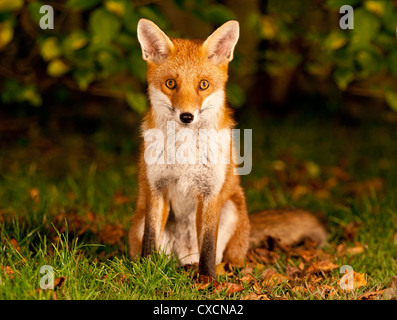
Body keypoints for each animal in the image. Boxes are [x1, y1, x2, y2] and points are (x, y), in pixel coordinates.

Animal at [128, 18, 326, 278]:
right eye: (171, 83)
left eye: (203, 85)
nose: (187, 116)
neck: (185, 153)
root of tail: (184, 258)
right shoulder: (156, 188)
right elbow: (150, 239)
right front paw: (146, 273)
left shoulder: (211, 191)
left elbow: (208, 245)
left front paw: (207, 279)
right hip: (141, 220)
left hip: (231, 208)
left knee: (221, 257)